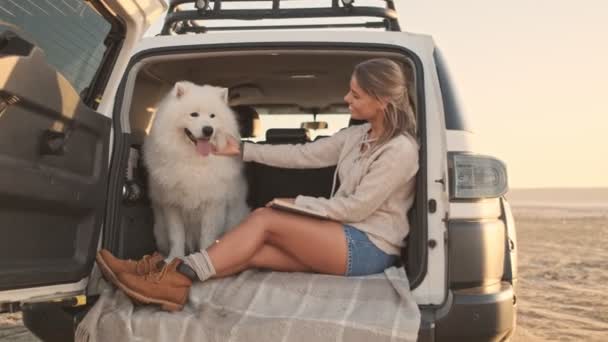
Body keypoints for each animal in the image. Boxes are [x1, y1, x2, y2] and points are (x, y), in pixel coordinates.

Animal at [142, 81, 249, 260]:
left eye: (212, 116)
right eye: (194, 114)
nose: (208, 130)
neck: (194, 161)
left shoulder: (213, 204)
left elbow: (207, 236)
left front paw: (205, 254)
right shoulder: (172, 205)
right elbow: (176, 236)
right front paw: (175, 257)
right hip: (159, 231)